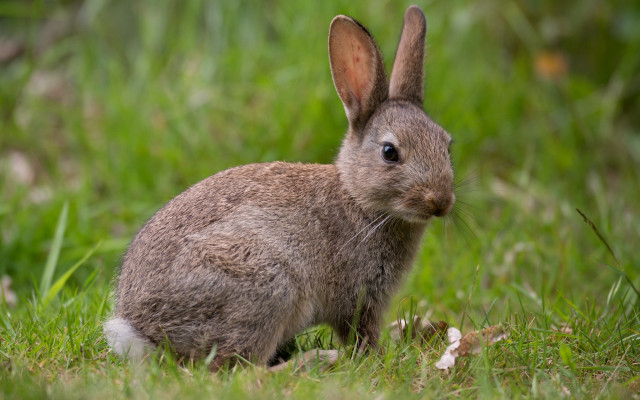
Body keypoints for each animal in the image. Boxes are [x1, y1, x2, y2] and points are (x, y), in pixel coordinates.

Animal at [104, 5, 455, 370]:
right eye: (390, 153)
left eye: (447, 144)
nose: (441, 202)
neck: (357, 198)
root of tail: (143, 334)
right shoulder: (358, 299)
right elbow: (361, 335)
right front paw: (376, 358)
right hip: (265, 287)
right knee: (243, 368)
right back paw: (318, 359)